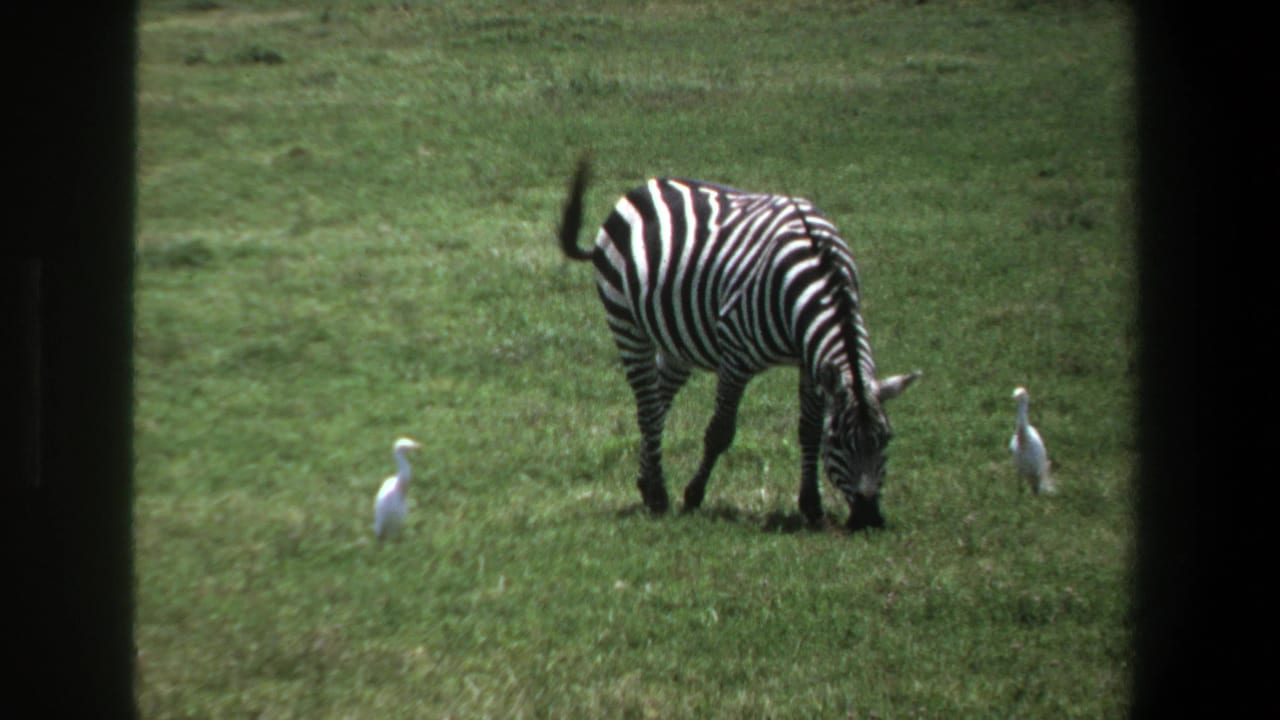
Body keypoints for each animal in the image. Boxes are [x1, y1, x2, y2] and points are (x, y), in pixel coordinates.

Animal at [557, 158, 921, 531]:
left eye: (886, 438)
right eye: (839, 441)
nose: (868, 518)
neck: (820, 274)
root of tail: (644, 186)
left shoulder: (811, 363)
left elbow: (807, 430)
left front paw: (811, 506)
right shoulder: (736, 357)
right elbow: (720, 431)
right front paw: (693, 496)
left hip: (678, 341)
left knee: (659, 399)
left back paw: (647, 483)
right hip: (626, 322)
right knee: (647, 407)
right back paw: (658, 495)